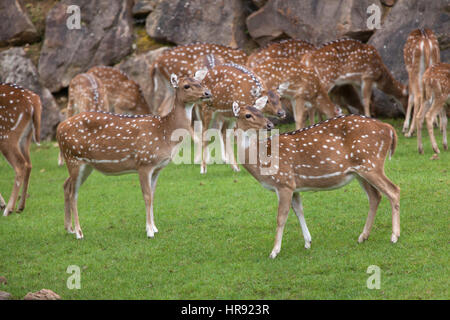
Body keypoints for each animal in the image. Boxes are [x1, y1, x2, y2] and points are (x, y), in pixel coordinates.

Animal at [0, 84, 41, 216]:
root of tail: (34, 100)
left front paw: (3, 204)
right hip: (26, 136)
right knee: (29, 164)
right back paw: (20, 206)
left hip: (6, 135)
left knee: (20, 164)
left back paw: (8, 209)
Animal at [56, 74, 211, 238]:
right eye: (186, 86)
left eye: (200, 82)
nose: (207, 93)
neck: (165, 132)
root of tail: (59, 128)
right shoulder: (144, 162)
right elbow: (147, 196)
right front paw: (149, 231)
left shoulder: (157, 168)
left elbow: (153, 195)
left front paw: (154, 227)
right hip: (73, 157)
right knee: (73, 193)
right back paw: (79, 232)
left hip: (85, 164)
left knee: (66, 185)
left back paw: (69, 228)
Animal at [232, 102, 400, 258]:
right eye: (247, 115)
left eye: (260, 111)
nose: (269, 125)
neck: (261, 161)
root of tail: (389, 128)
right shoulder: (294, 186)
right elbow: (299, 211)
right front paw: (308, 242)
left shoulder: (283, 182)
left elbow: (281, 217)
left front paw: (274, 251)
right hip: (360, 171)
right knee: (375, 196)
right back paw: (363, 237)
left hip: (371, 164)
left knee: (393, 190)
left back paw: (394, 236)